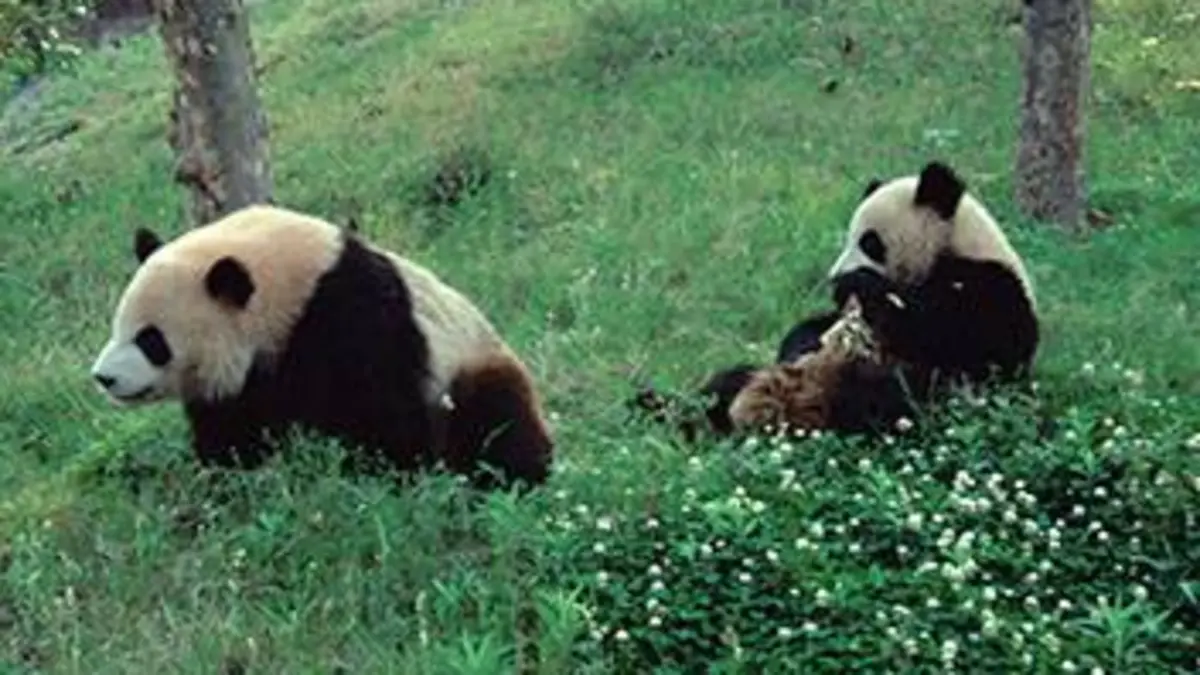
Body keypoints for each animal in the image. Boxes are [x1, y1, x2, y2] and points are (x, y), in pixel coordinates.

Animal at [89, 204, 554, 490]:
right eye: (117, 326)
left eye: (151, 340)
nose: (103, 377)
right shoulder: (246, 381)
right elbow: (233, 430)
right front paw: (229, 484)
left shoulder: (350, 316)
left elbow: (383, 410)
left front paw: (381, 479)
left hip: (472, 362)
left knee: (495, 417)